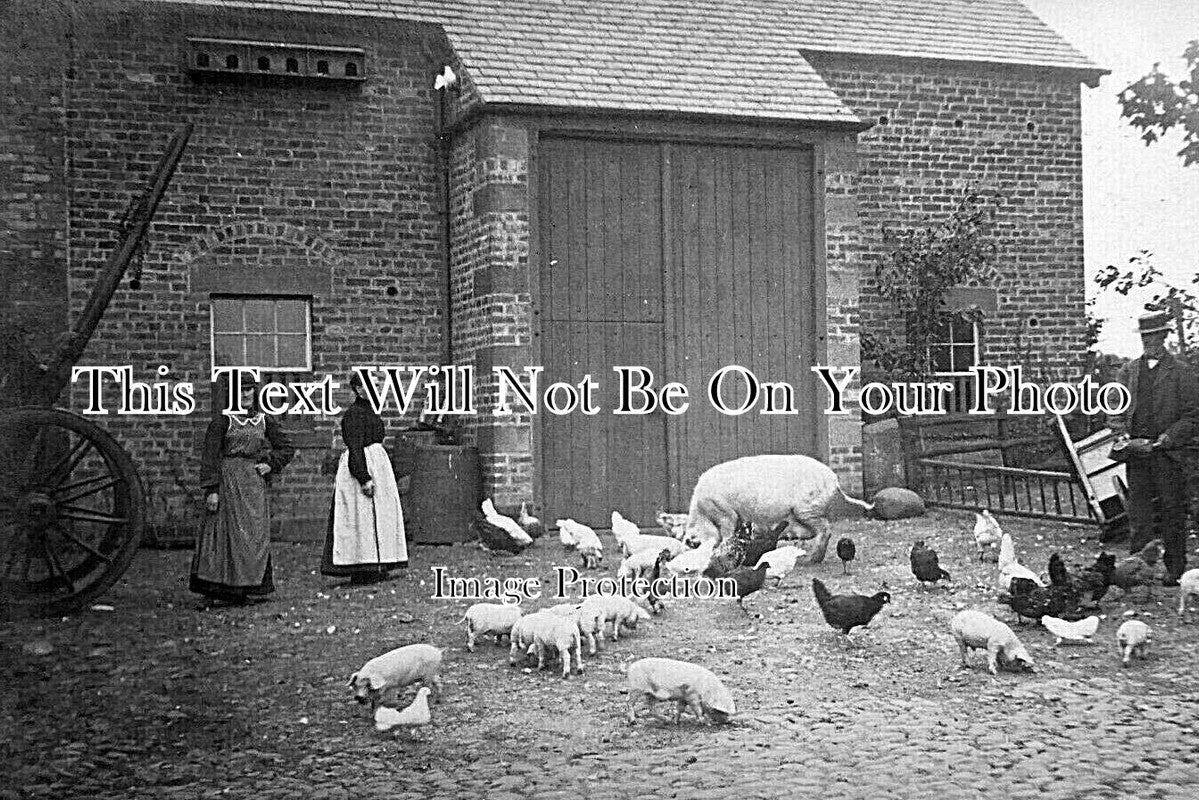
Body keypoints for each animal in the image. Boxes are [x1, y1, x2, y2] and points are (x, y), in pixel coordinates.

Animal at [685, 455, 872, 563]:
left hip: (807, 508)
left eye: (694, 543)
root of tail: (834, 479)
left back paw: (811, 560)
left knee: (825, 530)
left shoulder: (725, 513)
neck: (702, 512)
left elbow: (727, 533)